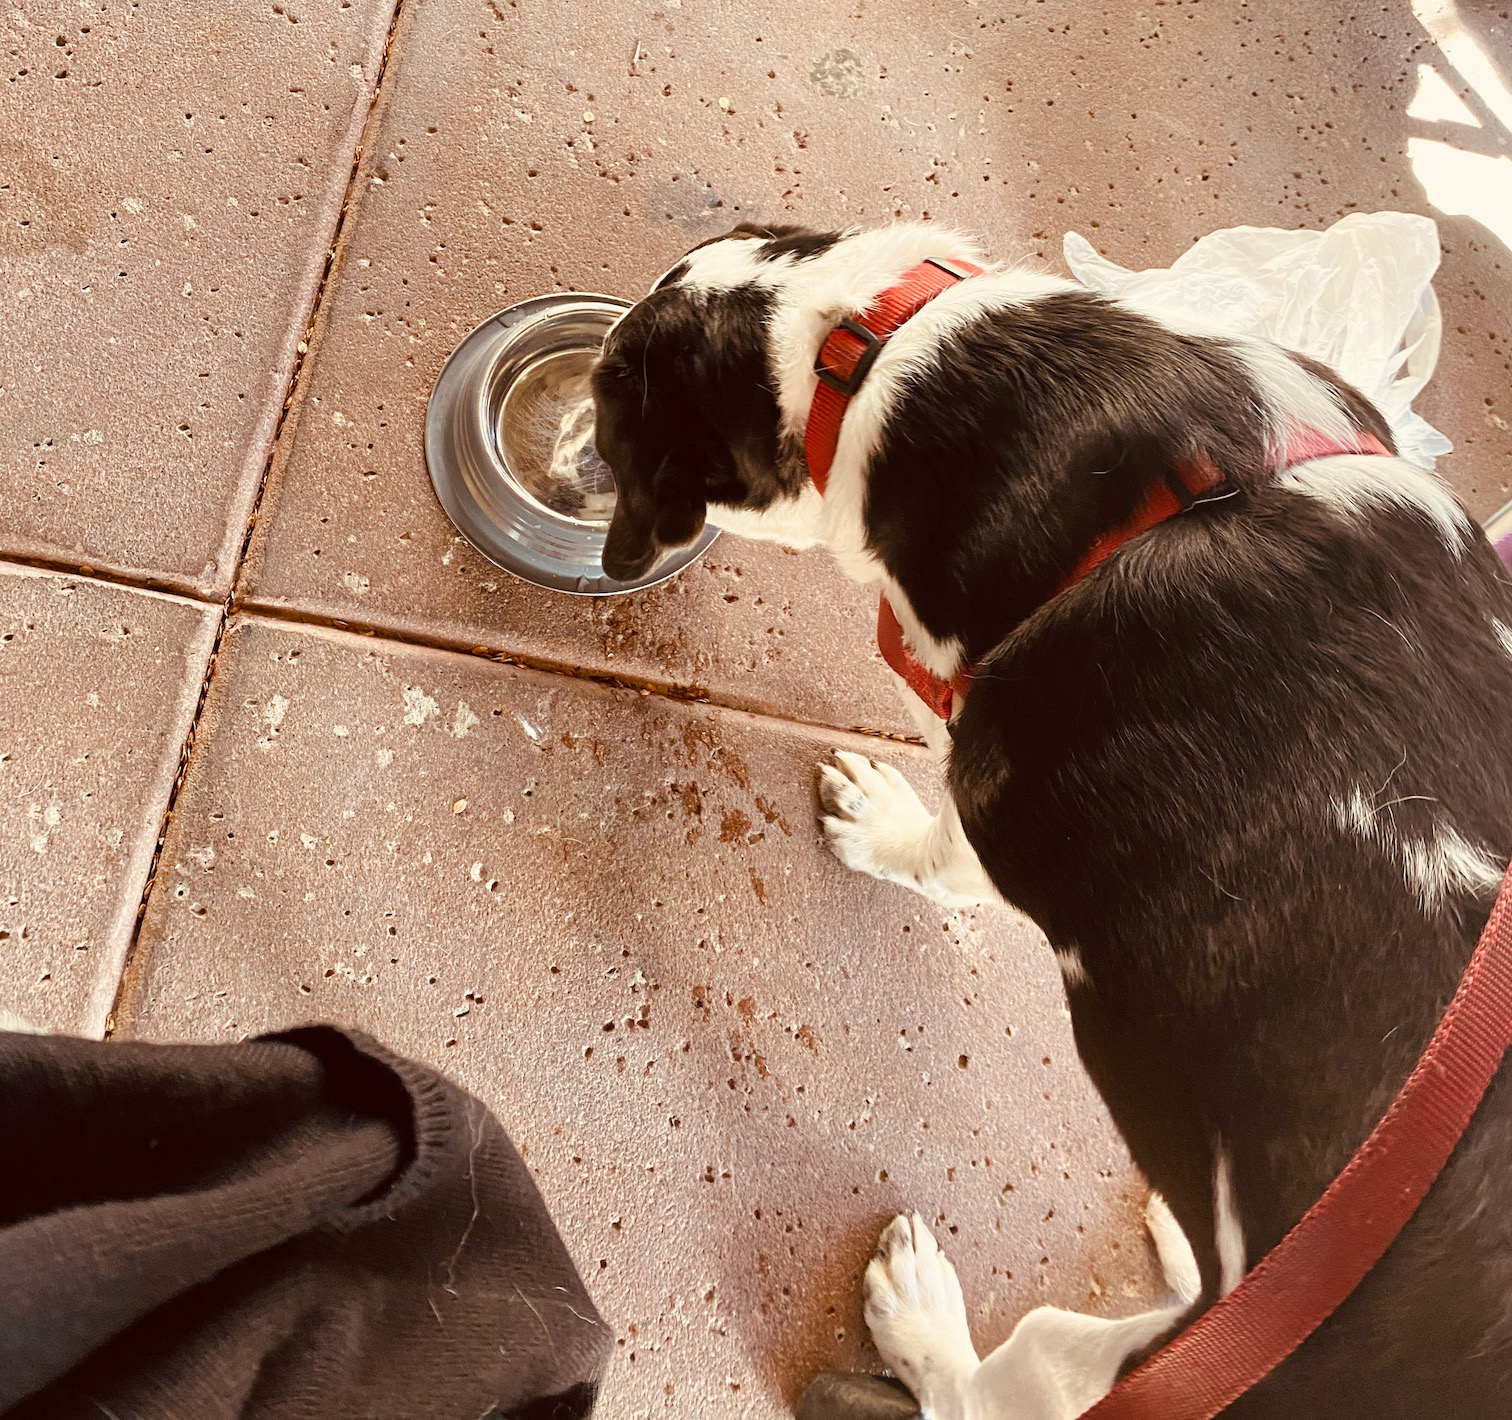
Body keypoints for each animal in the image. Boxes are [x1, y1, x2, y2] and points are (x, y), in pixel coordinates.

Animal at [592, 222, 1512, 1418]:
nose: (616, 548)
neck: (876, 346)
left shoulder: (994, 781)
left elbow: (939, 855)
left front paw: (880, 826)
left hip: (1096, 1365)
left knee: (989, 1389)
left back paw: (922, 1318)